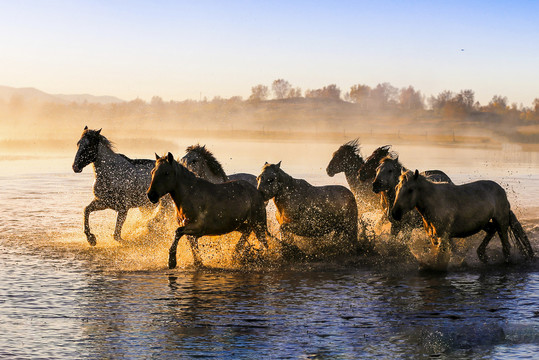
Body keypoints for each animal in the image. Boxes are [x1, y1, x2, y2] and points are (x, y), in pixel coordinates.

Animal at [392, 169, 536, 264]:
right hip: (484, 223)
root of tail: (501, 191)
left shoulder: (443, 237)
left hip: (501, 222)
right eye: (397, 187)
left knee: (506, 246)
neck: (435, 202)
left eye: (410, 190)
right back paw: (482, 255)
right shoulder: (434, 237)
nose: (395, 213)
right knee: (492, 230)